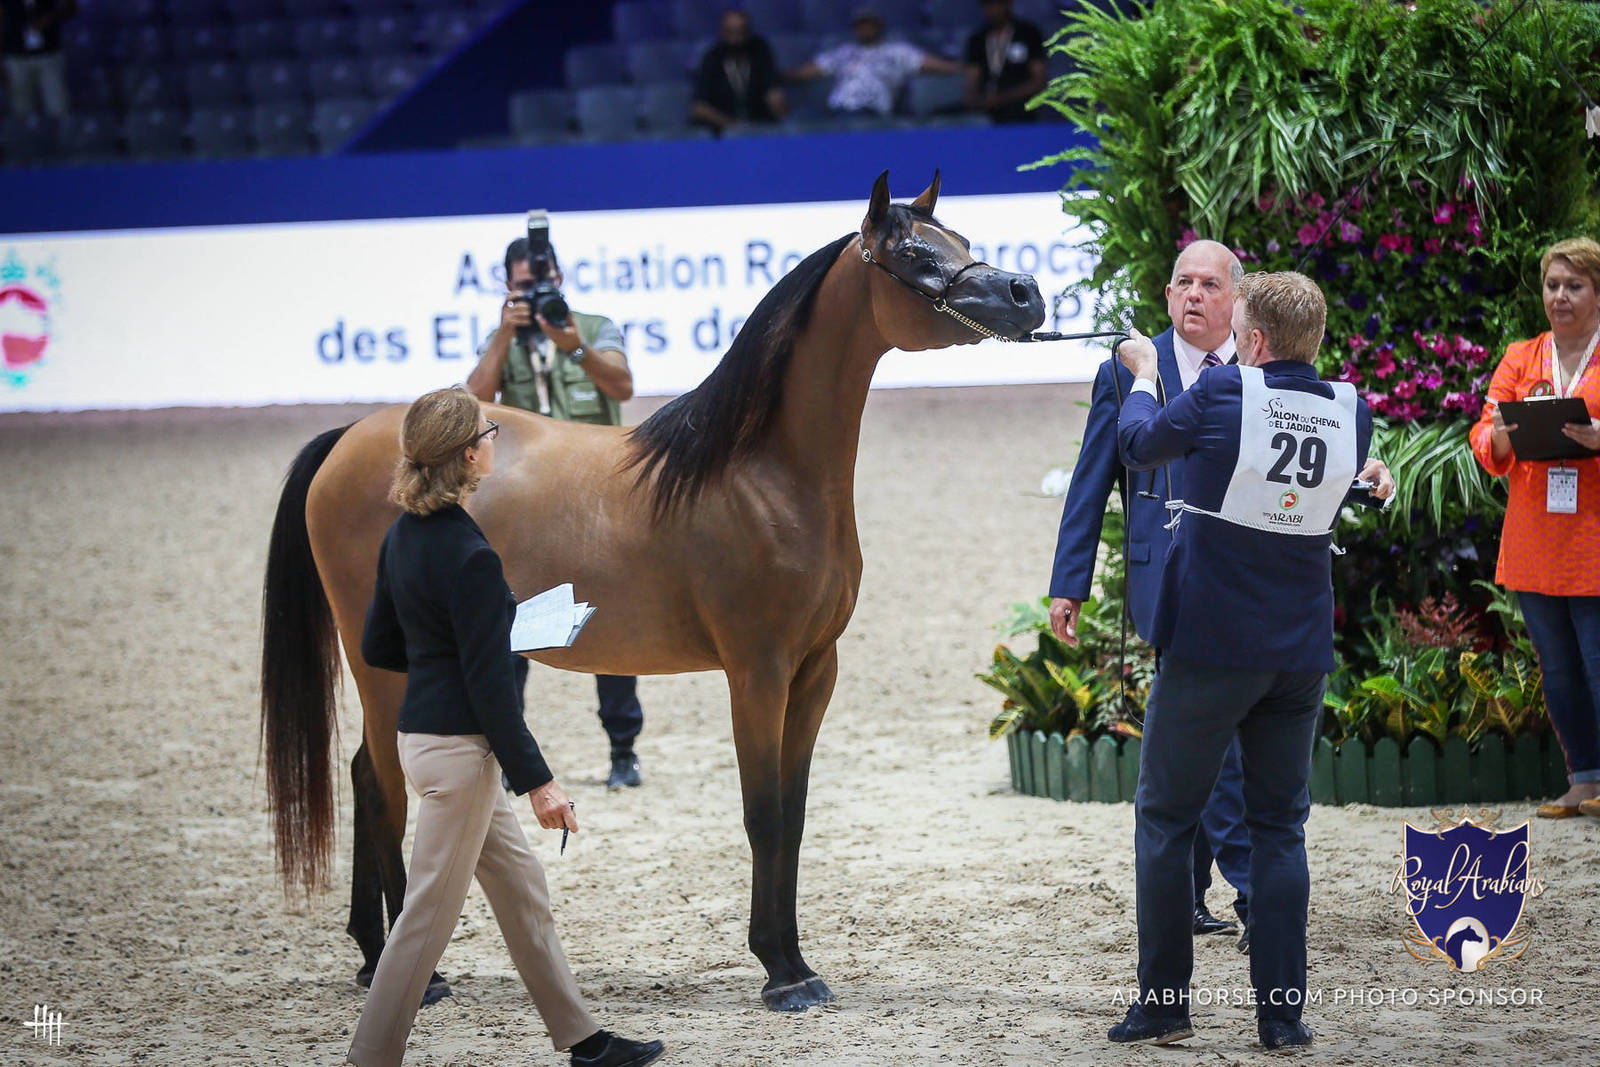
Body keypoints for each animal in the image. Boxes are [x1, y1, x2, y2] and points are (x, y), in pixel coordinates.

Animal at [260, 171, 1045, 1013]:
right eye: (914, 256)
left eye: (961, 241)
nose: (1027, 293)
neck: (760, 473)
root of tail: (350, 439)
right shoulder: (756, 671)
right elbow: (763, 815)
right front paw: (780, 972)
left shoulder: (814, 670)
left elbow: (795, 816)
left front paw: (797, 959)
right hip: (384, 665)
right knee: (383, 787)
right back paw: (410, 970)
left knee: (364, 775)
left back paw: (372, 955)